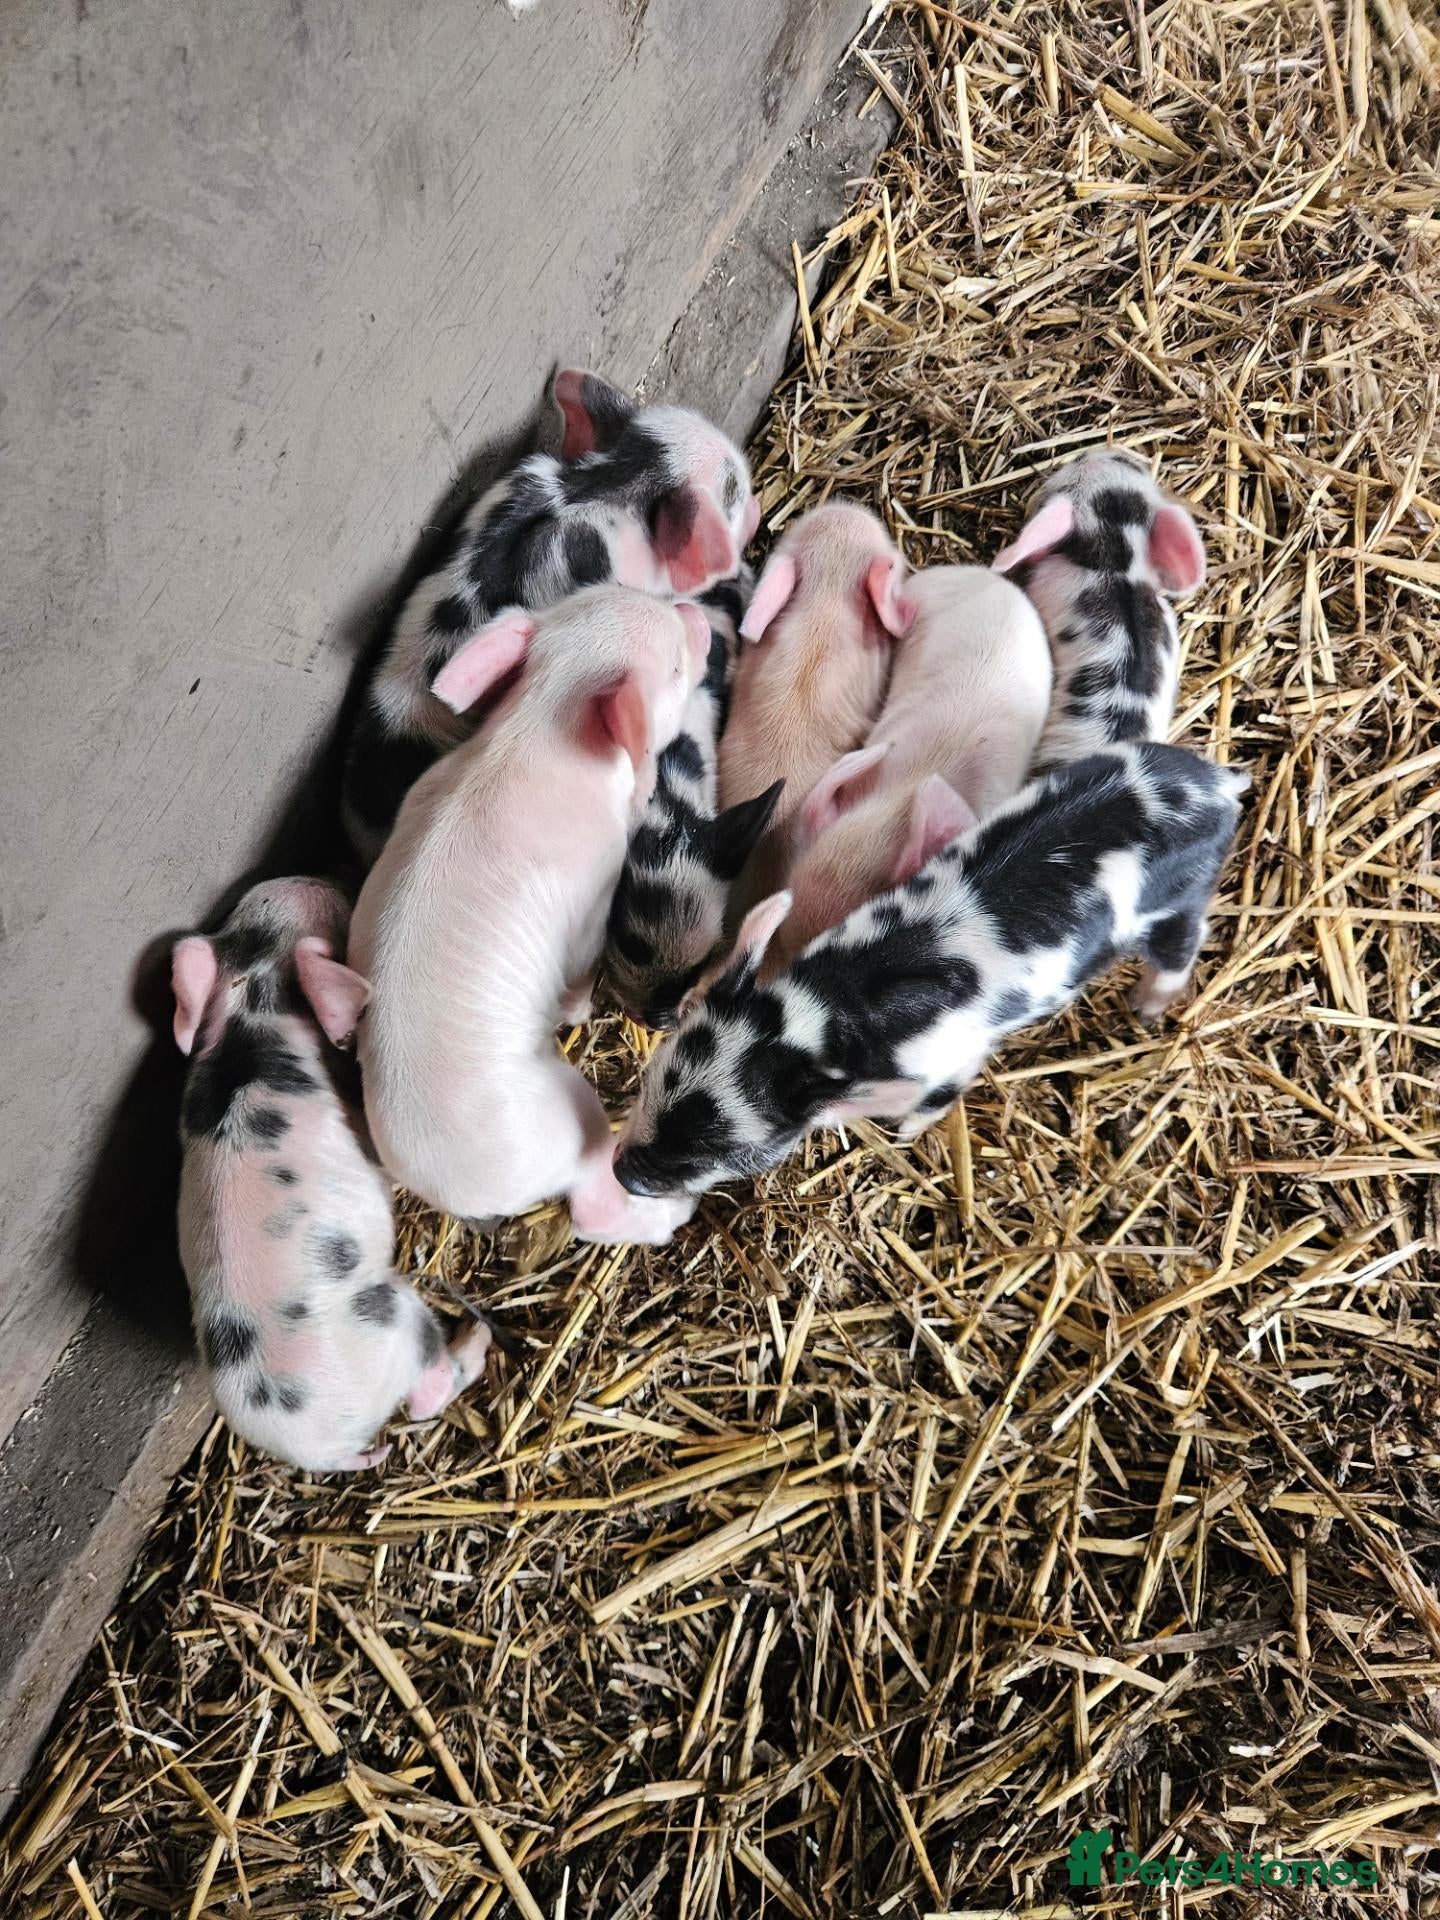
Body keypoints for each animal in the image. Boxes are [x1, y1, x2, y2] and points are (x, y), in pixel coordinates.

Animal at [171, 878, 491, 1473]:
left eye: (242, 917)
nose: (313, 879)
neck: (252, 1001)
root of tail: (326, 1450)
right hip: (391, 1313)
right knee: (426, 1394)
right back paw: (477, 1338)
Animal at [349, 585, 712, 1243]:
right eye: (674, 668)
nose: (694, 612)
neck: (543, 721)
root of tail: (449, 1190)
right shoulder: (593, 894)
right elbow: (578, 975)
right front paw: (579, 1010)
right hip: (567, 1118)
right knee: (591, 1198)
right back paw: (676, 1213)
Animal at [614, 741, 1247, 1200]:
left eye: (716, 1152)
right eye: (653, 1081)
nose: (622, 1174)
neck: (816, 1015)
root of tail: (1219, 785)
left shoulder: (953, 1055)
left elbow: (937, 1096)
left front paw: (905, 1133)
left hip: (1180, 899)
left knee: (1187, 942)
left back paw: (1148, 1009)